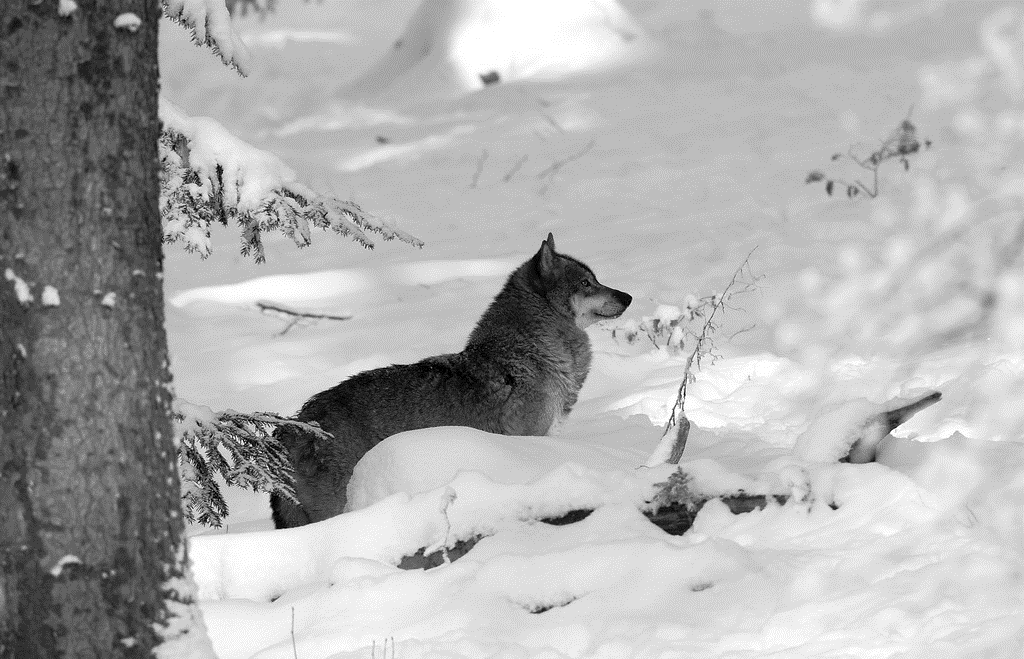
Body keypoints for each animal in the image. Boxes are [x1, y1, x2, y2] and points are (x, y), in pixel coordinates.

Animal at [268, 234, 626, 528]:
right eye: (587, 283)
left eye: (596, 280)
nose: (629, 296)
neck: (529, 355)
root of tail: (293, 424)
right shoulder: (530, 439)